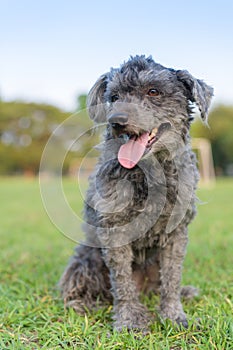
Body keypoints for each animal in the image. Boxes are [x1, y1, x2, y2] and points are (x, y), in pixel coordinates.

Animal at [59, 54, 214, 330]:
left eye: (153, 91)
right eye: (115, 96)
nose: (116, 121)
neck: (148, 172)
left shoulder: (176, 234)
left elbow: (171, 279)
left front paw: (174, 316)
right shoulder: (115, 230)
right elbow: (122, 281)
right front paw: (130, 320)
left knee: (158, 286)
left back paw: (185, 292)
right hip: (86, 259)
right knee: (78, 289)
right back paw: (84, 305)